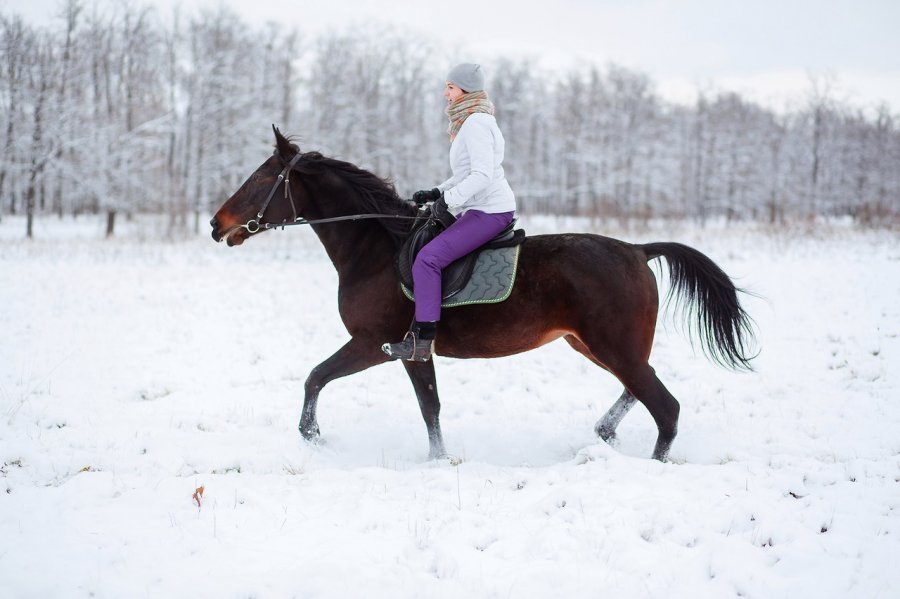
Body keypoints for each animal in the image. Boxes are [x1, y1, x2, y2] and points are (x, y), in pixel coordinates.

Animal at [211, 127, 752, 464]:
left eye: (261, 178)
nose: (217, 225)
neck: (377, 248)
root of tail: (639, 250)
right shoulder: (410, 351)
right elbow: (429, 406)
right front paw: (437, 459)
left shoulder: (376, 345)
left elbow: (317, 378)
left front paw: (313, 438)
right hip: (595, 345)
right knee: (639, 390)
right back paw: (603, 433)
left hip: (613, 346)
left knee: (665, 407)